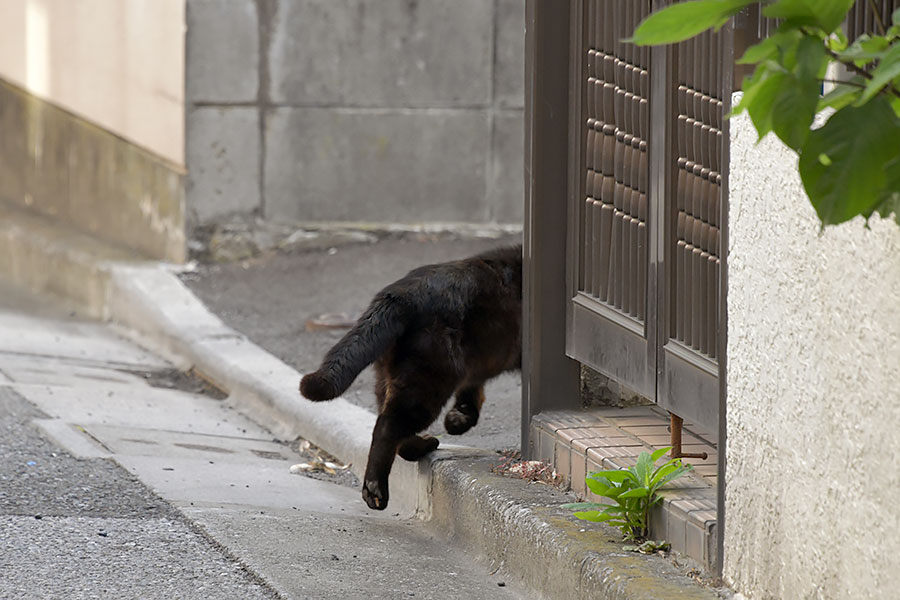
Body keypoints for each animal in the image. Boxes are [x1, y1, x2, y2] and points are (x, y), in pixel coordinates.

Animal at [300, 245, 520, 510]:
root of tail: (401, 292)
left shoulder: (479, 363)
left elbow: (472, 387)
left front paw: (460, 418)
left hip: (392, 377)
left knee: (389, 421)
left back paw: (423, 445)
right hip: (428, 383)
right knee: (387, 426)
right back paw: (375, 490)